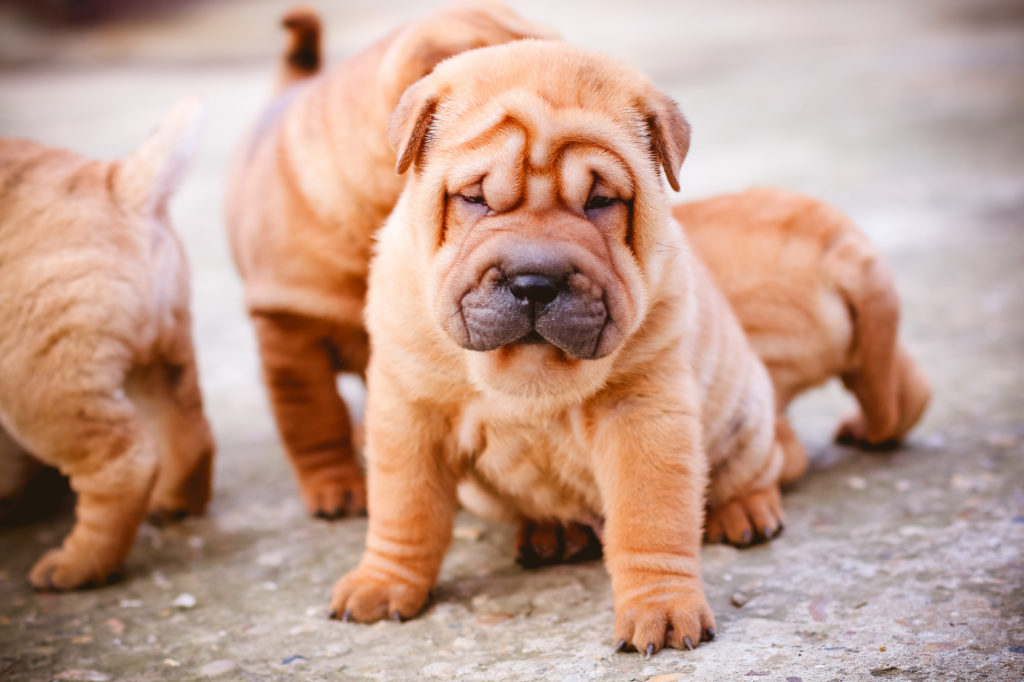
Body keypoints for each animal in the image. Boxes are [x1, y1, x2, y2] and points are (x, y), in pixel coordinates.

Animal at [0, 98, 212, 585]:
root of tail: (120, 186)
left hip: (36, 385)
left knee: (120, 465)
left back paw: (77, 566)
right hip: (159, 355)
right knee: (185, 429)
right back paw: (172, 502)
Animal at [327, 41, 782, 655]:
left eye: (600, 202)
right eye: (476, 199)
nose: (534, 281)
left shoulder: (643, 415)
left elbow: (652, 520)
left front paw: (662, 610)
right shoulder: (409, 412)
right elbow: (404, 509)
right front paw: (382, 582)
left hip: (744, 412)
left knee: (757, 467)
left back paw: (747, 510)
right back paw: (551, 533)